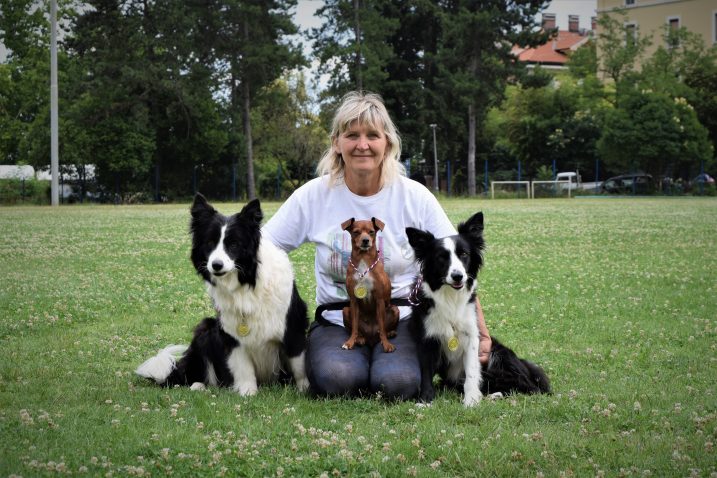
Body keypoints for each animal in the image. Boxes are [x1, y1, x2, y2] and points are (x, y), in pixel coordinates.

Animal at [340, 217, 400, 352]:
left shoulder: (379, 300)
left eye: (371, 232)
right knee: (356, 329)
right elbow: (354, 327)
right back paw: (360, 338)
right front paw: (350, 342)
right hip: (346, 310)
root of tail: (371, 337)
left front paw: (386, 344)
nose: (365, 240)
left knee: (383, 329)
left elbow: (382, 326)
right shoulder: (354, 301)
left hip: (395, 309)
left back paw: (390, 333)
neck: (363, 260)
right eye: (356, 232)